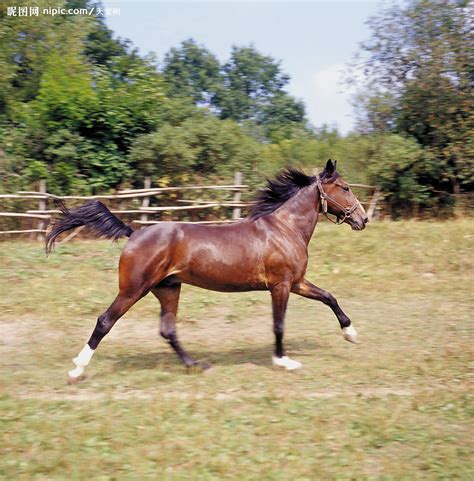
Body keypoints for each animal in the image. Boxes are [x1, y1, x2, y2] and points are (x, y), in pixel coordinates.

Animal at [46, 159, 368, 380]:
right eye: (345, 187)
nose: (363, 219)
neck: (284, 229)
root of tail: (133, 232)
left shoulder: (297, 282)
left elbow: (329, 297)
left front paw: (351, 334)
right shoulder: (281, 285)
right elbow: (279, 324)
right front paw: (284, 361)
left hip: (168, 289)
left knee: (168, 330)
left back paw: (196, 365)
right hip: (133, 289)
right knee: (105, 321)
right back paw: (77, 370)